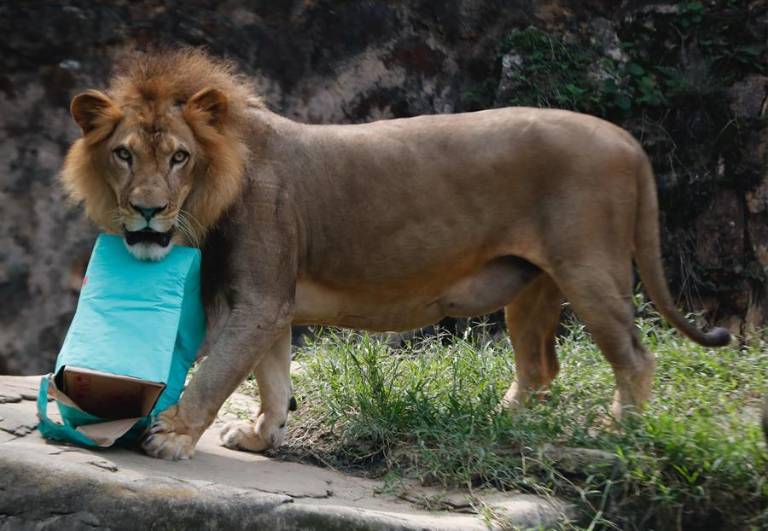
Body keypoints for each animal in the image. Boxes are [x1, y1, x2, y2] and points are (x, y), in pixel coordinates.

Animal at [60, 48, 730, 460]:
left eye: (179, 157)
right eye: (123, 154)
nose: (147, 210)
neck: (215, 185)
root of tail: (628, 140)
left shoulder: (259, 299)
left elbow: (217, 372)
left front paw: (172, 437)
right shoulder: (272, 304)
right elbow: (272, 378)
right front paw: (259, 436)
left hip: (589, 270)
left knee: (635, 358)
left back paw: (617, 432)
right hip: (533, 285)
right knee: (541, 367)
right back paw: (504, 422)